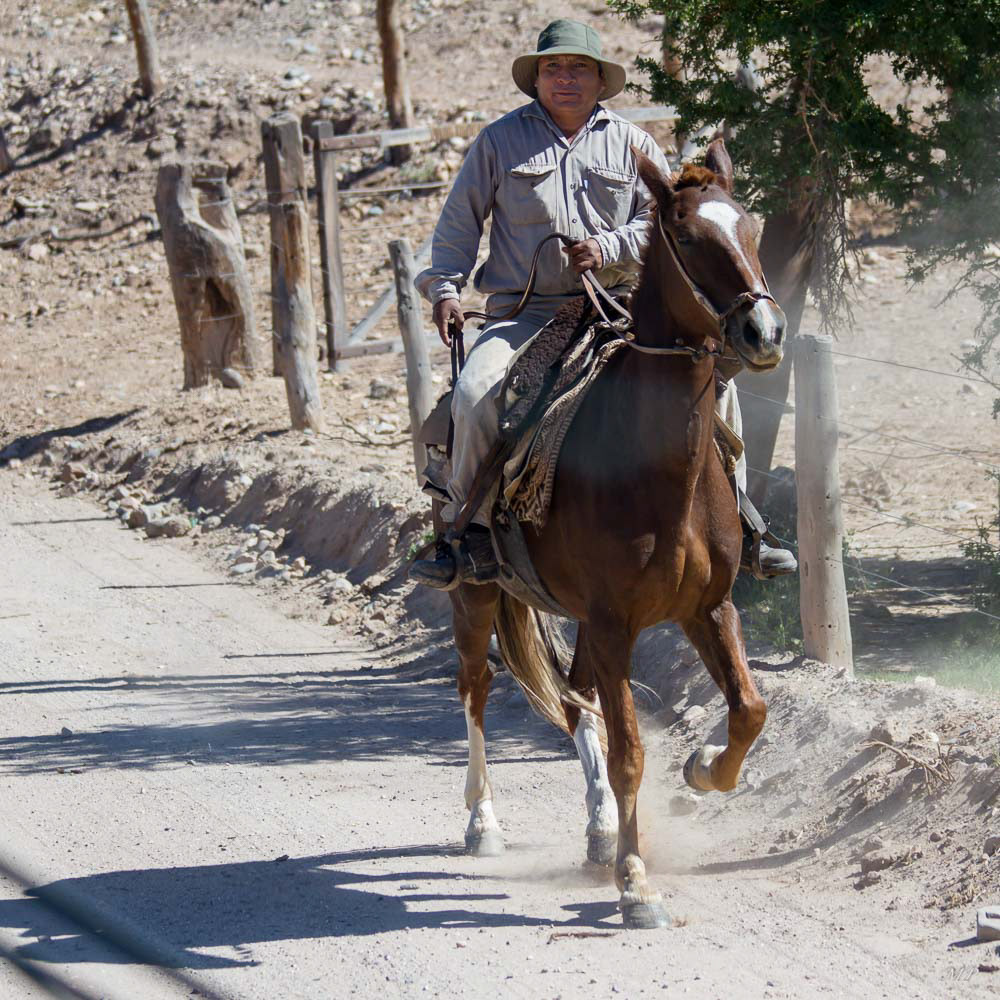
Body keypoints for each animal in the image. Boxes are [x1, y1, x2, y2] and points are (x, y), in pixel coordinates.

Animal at [445, 138, 786, 929]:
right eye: (688, 237)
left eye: (752, 227)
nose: (763, 333)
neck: (655, 469)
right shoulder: (613, 622)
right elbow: (630, 749)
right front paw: (637, 885)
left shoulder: (708, 608)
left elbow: (749, 711)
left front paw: (704, 769)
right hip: (477, 594)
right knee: (479, 686)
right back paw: (485, 823)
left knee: (576, 702)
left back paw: (600, 830)